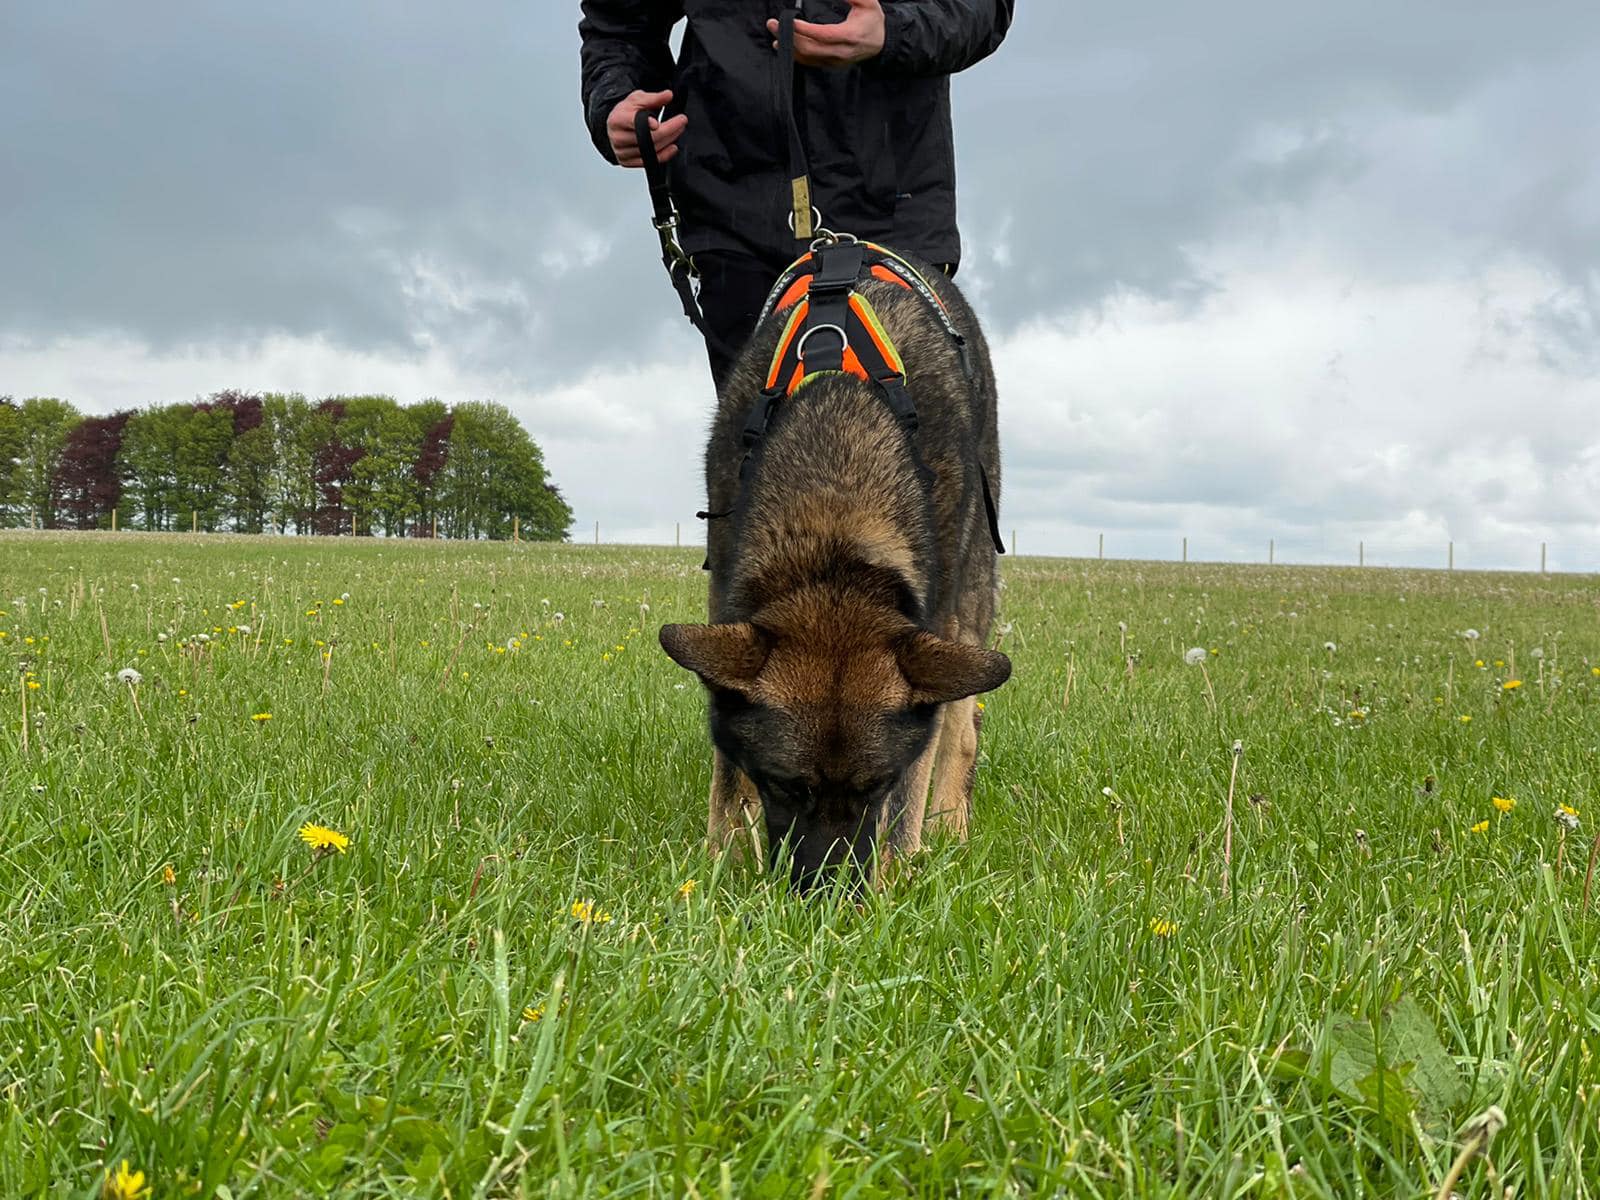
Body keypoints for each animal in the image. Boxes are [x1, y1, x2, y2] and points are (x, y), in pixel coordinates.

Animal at [656, 254, 1004, 896]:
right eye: (786, 785)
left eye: (877, 786)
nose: (827, 892)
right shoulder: (725, 600)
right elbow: (727, 775)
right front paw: (724, 862)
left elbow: (910, 793)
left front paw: (896, 878)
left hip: (970, 597)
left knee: (962, 729)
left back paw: (948, 828)